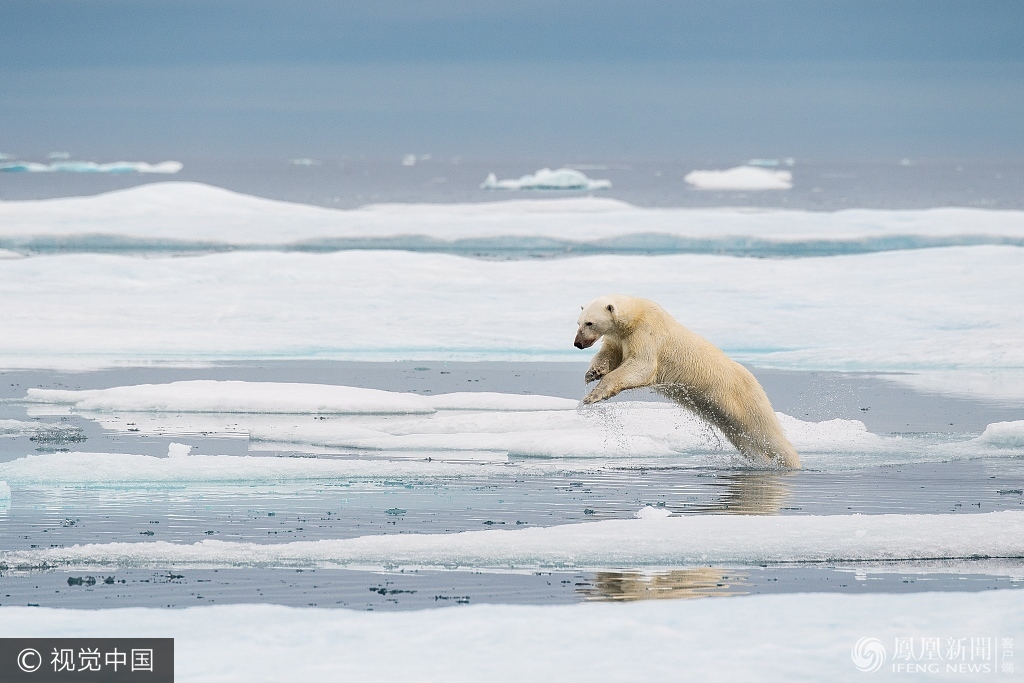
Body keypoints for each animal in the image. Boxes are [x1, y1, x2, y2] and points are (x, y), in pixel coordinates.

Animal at [577, 294, 798, 471]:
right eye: (578, 322)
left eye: (589, 323)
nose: (577, 343)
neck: (636, 315)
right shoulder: (619, 337)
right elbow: (609, 355)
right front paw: (593, 372)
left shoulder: (647, 333)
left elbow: (641, 366)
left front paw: (593, 395)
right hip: (725, 416)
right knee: (745, 439)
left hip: (745, 397)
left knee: (766, 433)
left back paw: (790, 462)